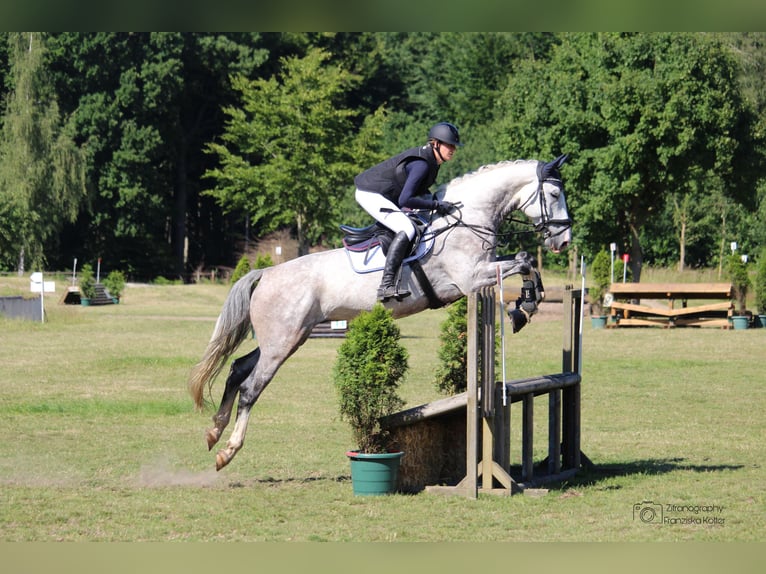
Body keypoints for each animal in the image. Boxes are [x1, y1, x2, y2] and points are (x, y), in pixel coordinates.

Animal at [188, 155, 568, 470]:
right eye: (552, 194)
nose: (563, 241)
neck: (467, 219)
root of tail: (266, 273)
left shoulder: (482, 273)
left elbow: (525, 261)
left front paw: (526, 305)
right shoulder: (471, 277)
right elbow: (524, 260)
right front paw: (523, 307)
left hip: (288, 338)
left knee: (238, 368)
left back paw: (213, 431)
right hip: (282, 341)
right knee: (251, 387)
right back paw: (227, 450)